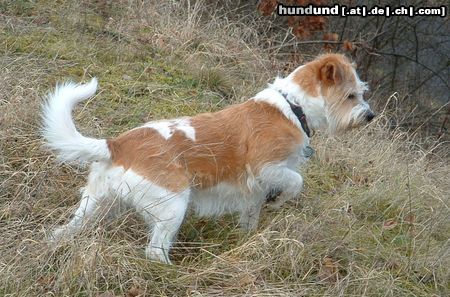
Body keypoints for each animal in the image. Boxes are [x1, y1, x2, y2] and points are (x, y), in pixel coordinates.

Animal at [42, 52, 374, 262]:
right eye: (351, 96)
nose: (370, 116)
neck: (293, 107)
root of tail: (117, 145)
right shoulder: (266, 168)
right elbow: (296, 182)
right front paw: (279, 201)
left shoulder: (254, 190)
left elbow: (251, 215)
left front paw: (248, 238)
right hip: (172, 208)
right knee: (154, 251)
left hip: (94, 206)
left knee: (65, 231)